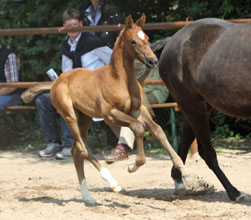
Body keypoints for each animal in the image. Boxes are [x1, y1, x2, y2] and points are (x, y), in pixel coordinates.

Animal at [51, 14, 188, 205]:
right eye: (133, 41)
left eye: (147, 38)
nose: (153, 60)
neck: (120, 80)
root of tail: (56, 81)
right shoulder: (110, 115)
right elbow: (138, 128)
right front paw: (133, 166)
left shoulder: (138, 112)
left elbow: (157, 130)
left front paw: (183, 169)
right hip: (69, 115)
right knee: (83, 149)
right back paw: (113, 183)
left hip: (84, 118)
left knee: (76, 151)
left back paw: (88, 198)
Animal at [159, 18, 251, 202]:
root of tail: (172, 41)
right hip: (193, 106)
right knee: (207, 153)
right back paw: (234, 192)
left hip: (199, 106)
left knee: (186, 138)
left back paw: (179, 182)